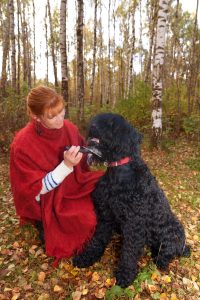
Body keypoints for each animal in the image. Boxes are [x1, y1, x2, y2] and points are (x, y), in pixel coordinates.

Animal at [72, 113, 191, 288]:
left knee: (166, 255)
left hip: (172, 232)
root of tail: (183, 246)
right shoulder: (105, 216)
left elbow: (129, 252)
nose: (92, 126)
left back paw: (159, 260)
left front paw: (125, 275)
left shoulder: (134, 224)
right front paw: (86, 257)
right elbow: (96, 239)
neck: (118, 173)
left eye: (111, 123)